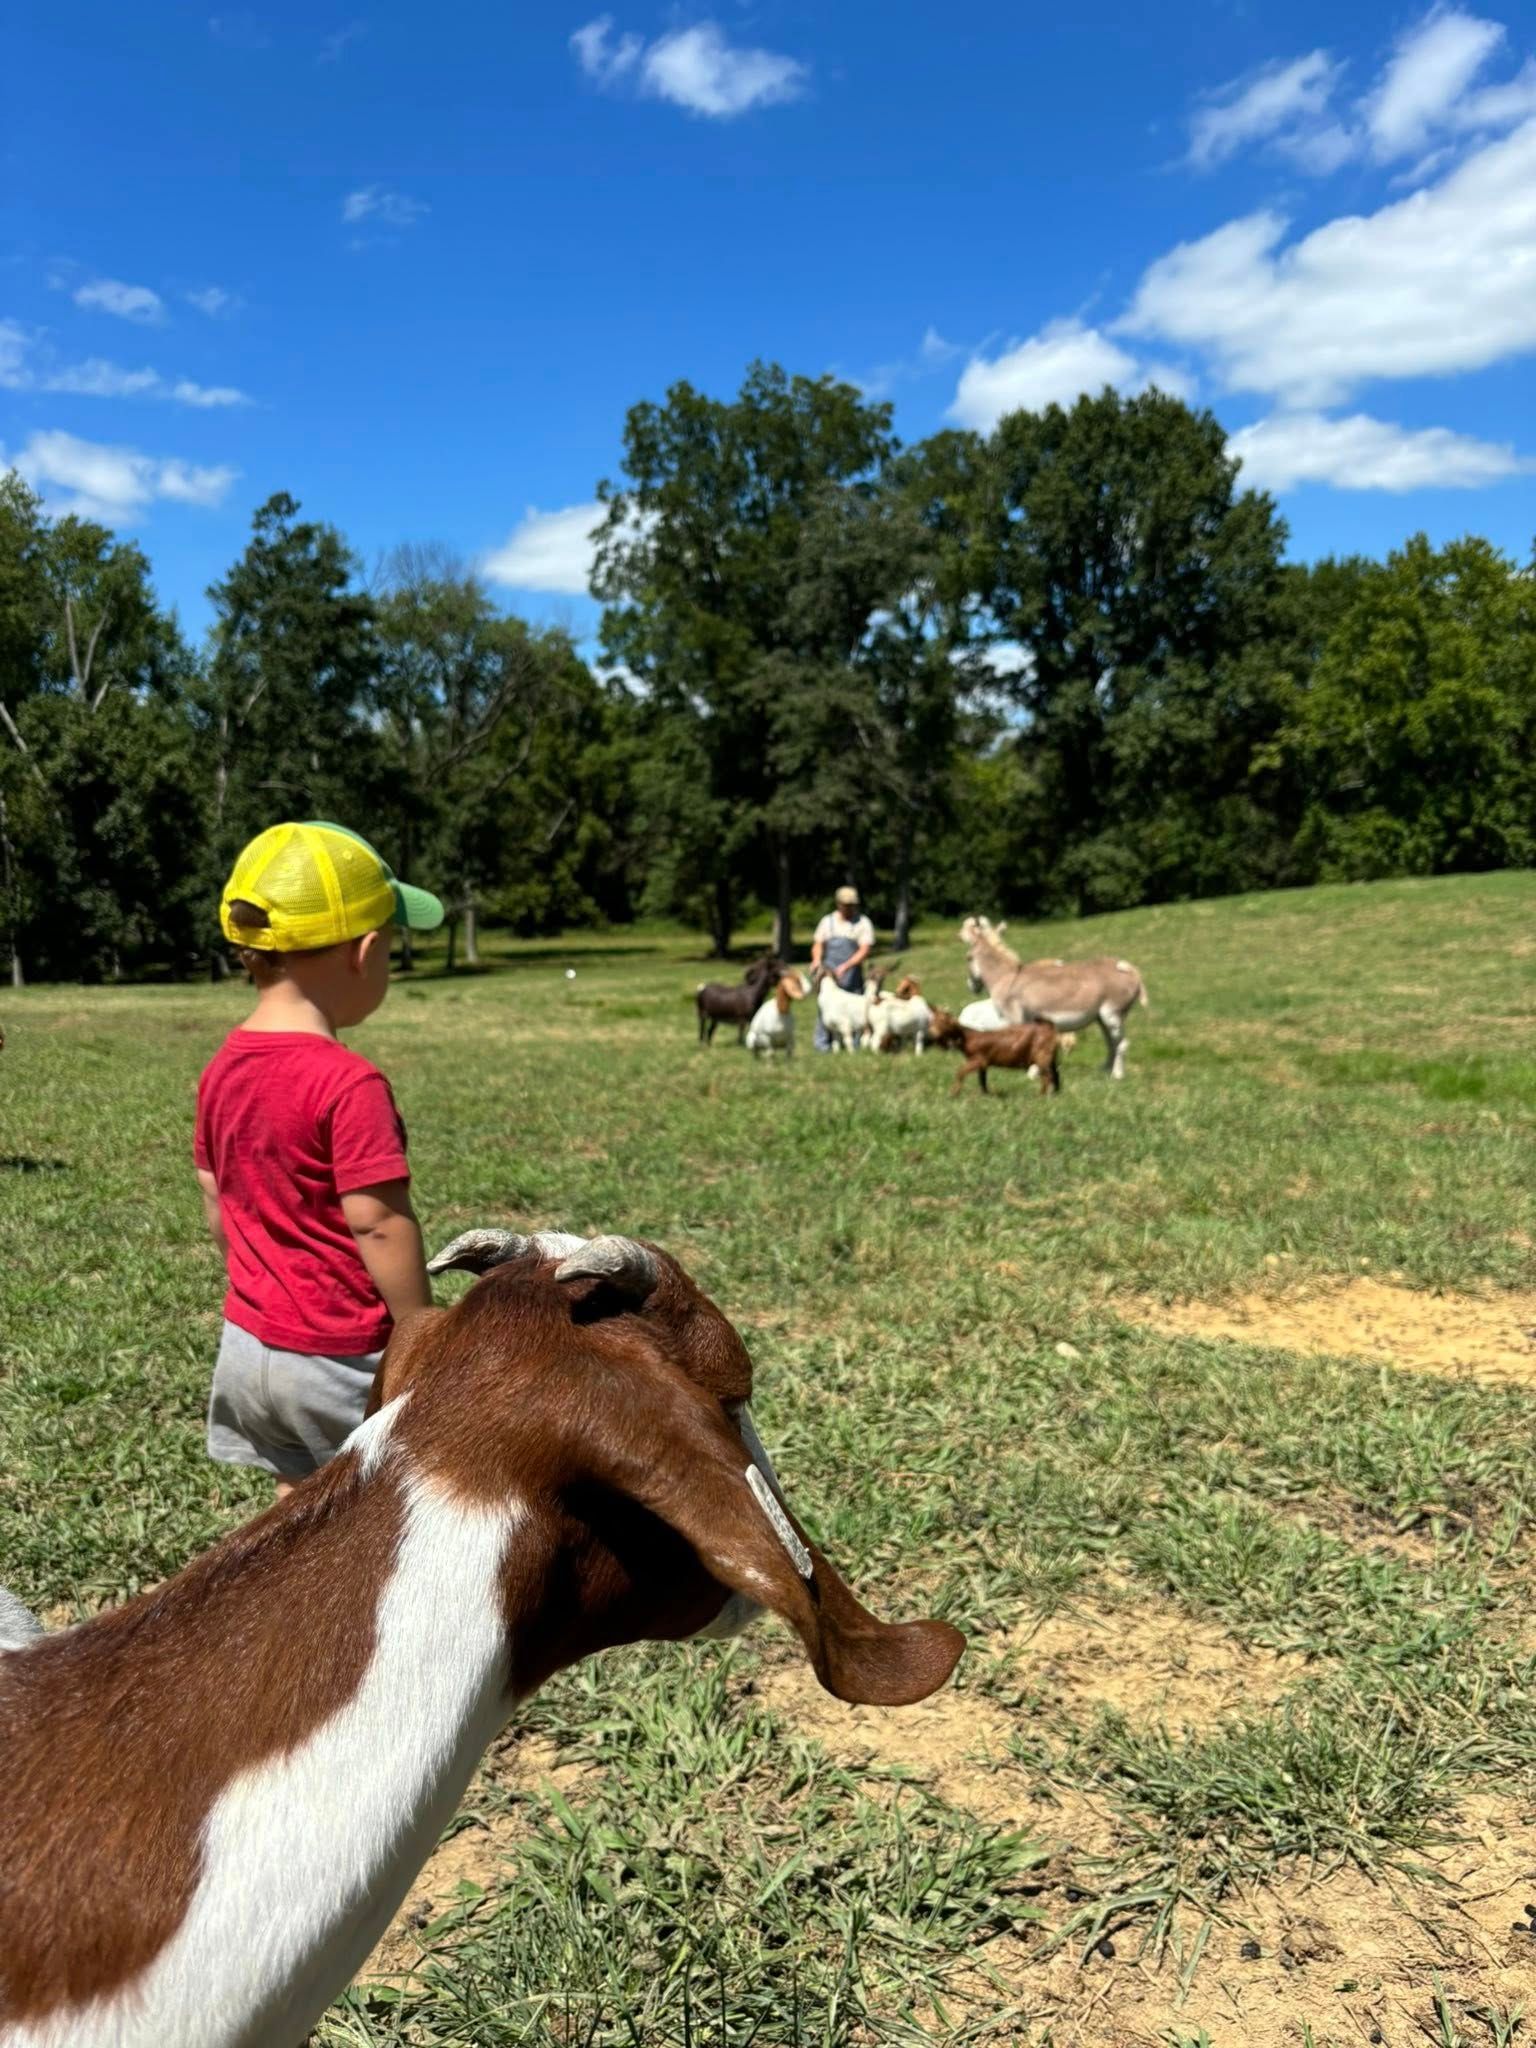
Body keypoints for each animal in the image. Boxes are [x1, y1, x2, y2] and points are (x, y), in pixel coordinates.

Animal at [929, 1007, 1061, 1096]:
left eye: (943, 1022)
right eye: (932, 1022)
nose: (931, 1034)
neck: (968, 1037)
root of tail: (1049, 1027)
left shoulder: (977, 1059)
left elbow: (960, 1072)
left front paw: (953, 1093)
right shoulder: (983, 1064)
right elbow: (982, 1079)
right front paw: (985, 1094)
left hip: (1042, 1056)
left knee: (1047, 1076)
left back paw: (1041, 1095)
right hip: (1050, 1058)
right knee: (1055, 1074)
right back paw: (1055, 1093)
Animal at [960, 916, 1148, 1079]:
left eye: (968, 958)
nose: (971, 987)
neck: (1008, 977)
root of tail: (1129, 969)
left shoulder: (1016, 1019)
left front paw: (1030, 1073)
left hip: (1112, 1015)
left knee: (1121, 1044)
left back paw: (1117, 1075)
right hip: (1102, 1018)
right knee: (1111, 1043)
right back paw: (1104, 1071)